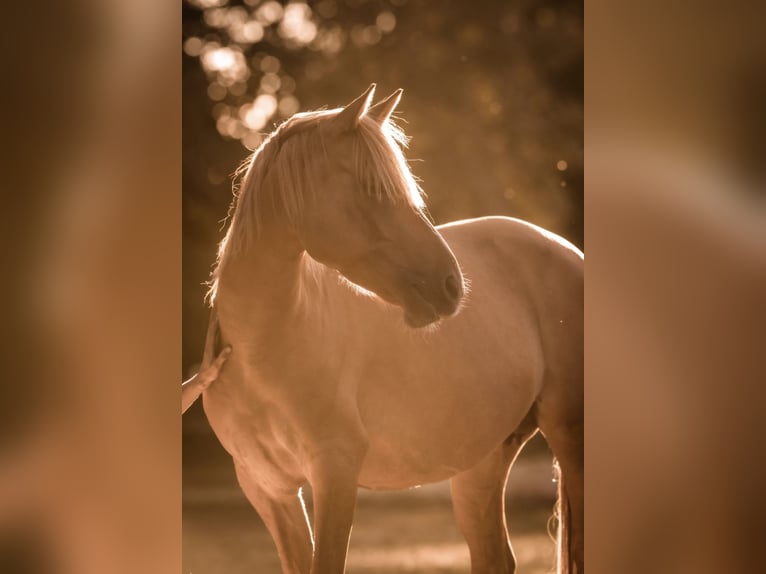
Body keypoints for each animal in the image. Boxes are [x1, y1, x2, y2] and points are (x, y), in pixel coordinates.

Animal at [202, 85, 584, 574]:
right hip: (482, 462)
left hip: (569, 437)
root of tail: (567, 250)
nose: (451, 284)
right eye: (370, 189)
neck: (261, 350)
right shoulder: (270, 490)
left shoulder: (335, 474)